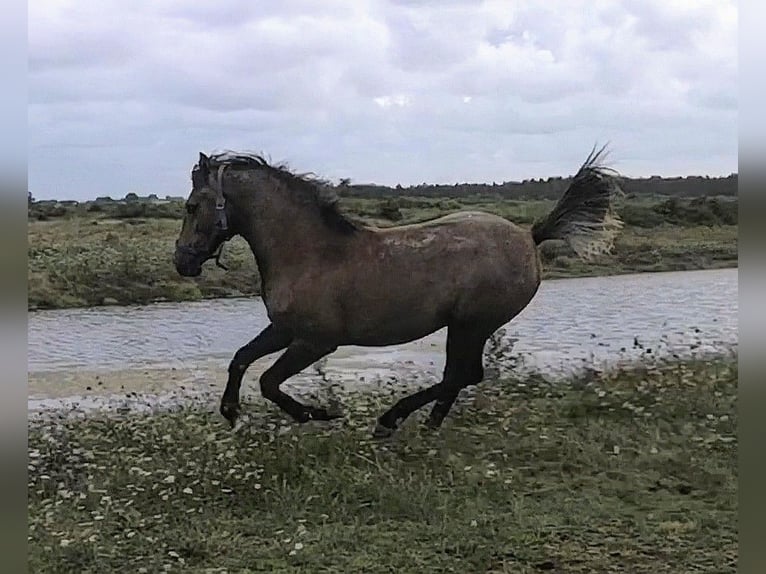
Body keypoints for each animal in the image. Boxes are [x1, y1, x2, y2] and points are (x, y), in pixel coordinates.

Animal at [174, 146, 624, 438]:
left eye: (192, 206)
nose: (182, 262)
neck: (311, 253)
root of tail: (530, 236)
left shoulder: (316, 341)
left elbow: (268, 381)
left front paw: (318, 413)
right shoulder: (285, 330)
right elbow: (240, 359)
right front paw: (232, 414)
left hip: (471, 324)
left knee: (462, 374)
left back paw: (391, 421)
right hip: (465, 327)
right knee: (460, 376)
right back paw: (425, 427)